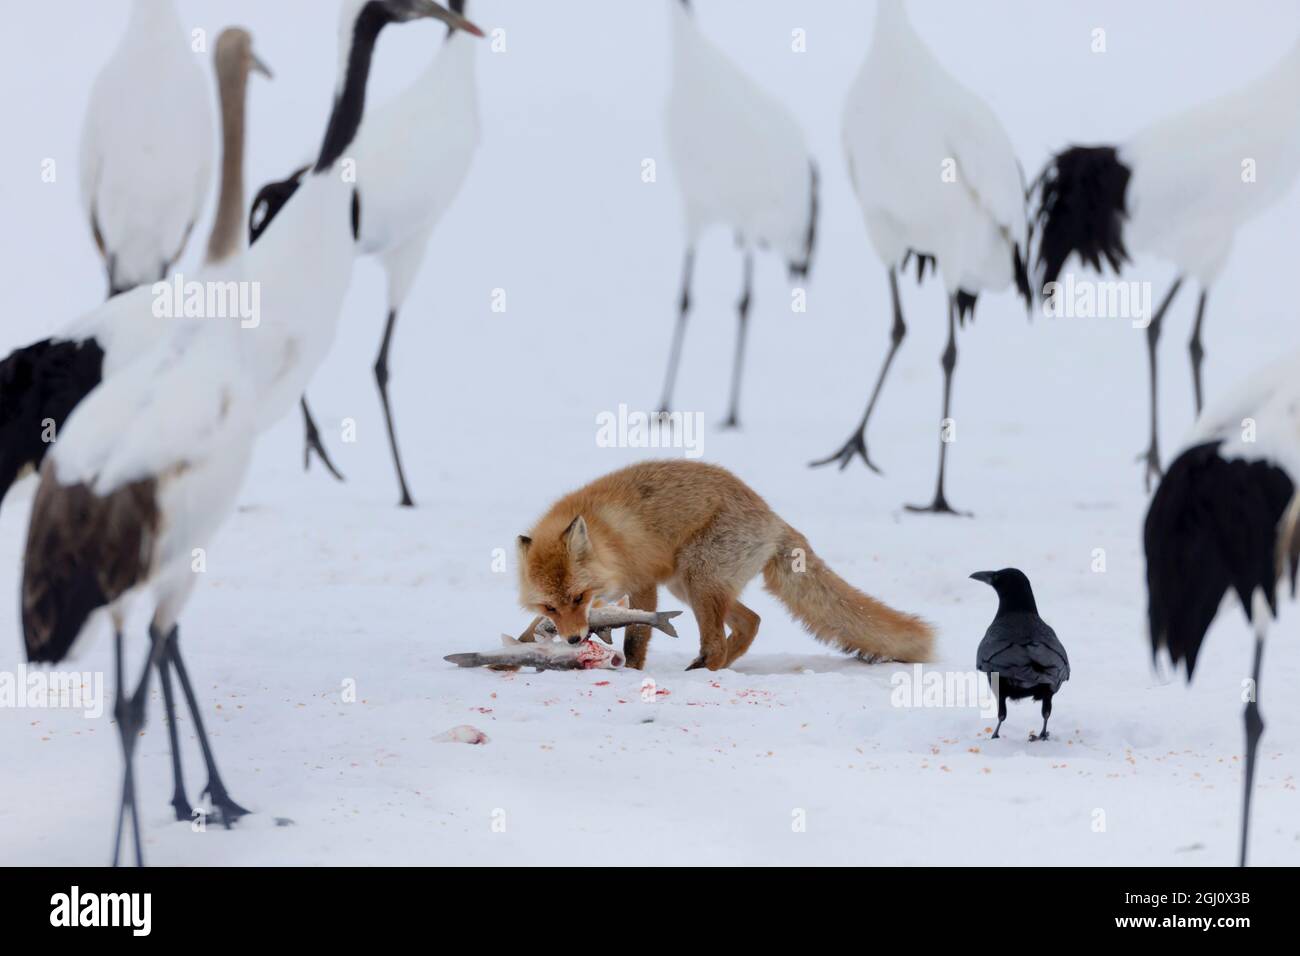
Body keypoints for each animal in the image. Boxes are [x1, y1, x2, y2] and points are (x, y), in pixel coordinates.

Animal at [517, 460, 935, 671]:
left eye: (578, 596)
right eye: (551, 605)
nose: (574, 640)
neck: (607, 538)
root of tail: (773, 518)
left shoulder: (643, 581)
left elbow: (636, 636)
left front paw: (631, 672)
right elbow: (530, 629)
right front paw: (515, 653)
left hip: (698, 579)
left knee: (719, 642)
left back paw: (708, 670)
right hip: (689, 585)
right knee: (752, 622)